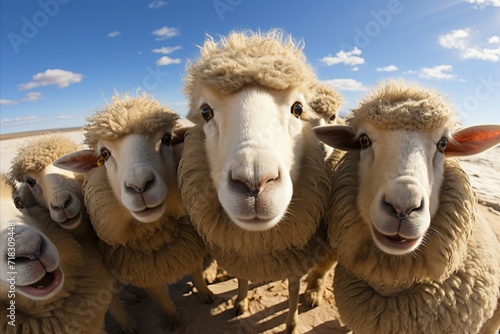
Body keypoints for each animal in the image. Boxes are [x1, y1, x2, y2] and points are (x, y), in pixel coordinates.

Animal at [54, 92, 215, 328]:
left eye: (167, 139)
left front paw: (206, 295)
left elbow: (197, 275)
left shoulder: (191, 246)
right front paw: (173, 320)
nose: (139, 186)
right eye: (104, 153)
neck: (157, 238)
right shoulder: (142, 273)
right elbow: (161, 298)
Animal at [178, 30, 338, 332]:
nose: (254, 183)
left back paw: (314, 291)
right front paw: (241, 303)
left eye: (298, 108)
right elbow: (242, 277)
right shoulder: (243, 253)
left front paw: (291, 323)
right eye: (206, 112)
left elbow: (293, 288)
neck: (259, 243)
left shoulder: (297, 253)